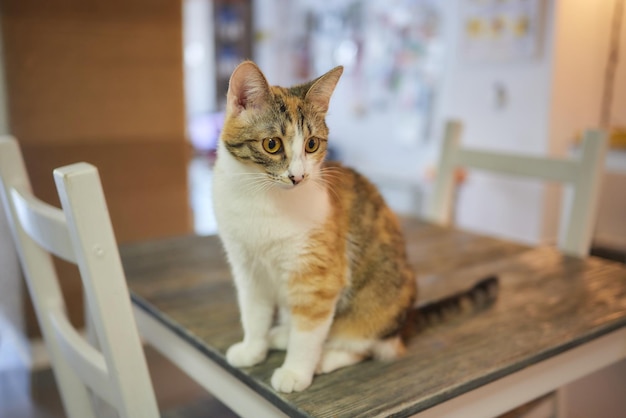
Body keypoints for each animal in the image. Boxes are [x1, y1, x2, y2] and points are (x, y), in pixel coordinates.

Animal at [212, 60, 494, 394]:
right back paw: (282, 333)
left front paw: (296, 371)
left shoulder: (319, 275)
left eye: (311, 144)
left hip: (377, 305)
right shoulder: (246, 266)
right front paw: (253, 349)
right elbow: (253, 312)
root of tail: (405, 322)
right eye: (272, 144)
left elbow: (309, 330)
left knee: (369, 346)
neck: (263, 200)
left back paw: (325, 357)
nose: (298, 176)